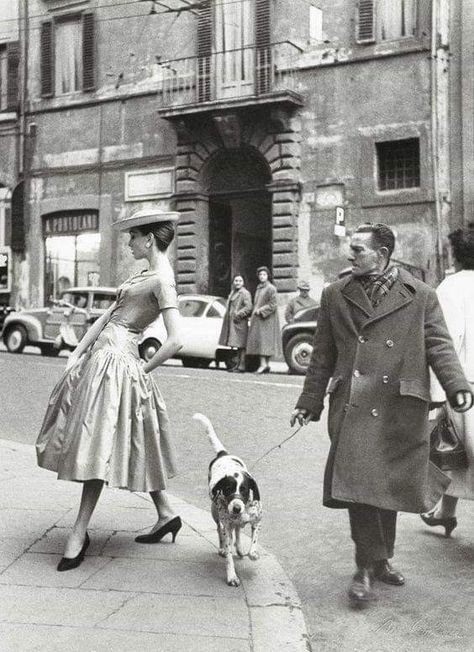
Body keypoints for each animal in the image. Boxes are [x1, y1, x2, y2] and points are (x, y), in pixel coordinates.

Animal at [192, 412, 262, 584]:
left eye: (244, 489)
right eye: (228, 489)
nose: (236, 508)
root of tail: (223, 454)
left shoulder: (257, 521)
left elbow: (254, 540)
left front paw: (253, 553)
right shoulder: (227, 526)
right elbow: (229, 555)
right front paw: (232, 576)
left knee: (238, 531)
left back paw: (240, 548)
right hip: (215, 513)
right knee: (220, 530)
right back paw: (223, 548)